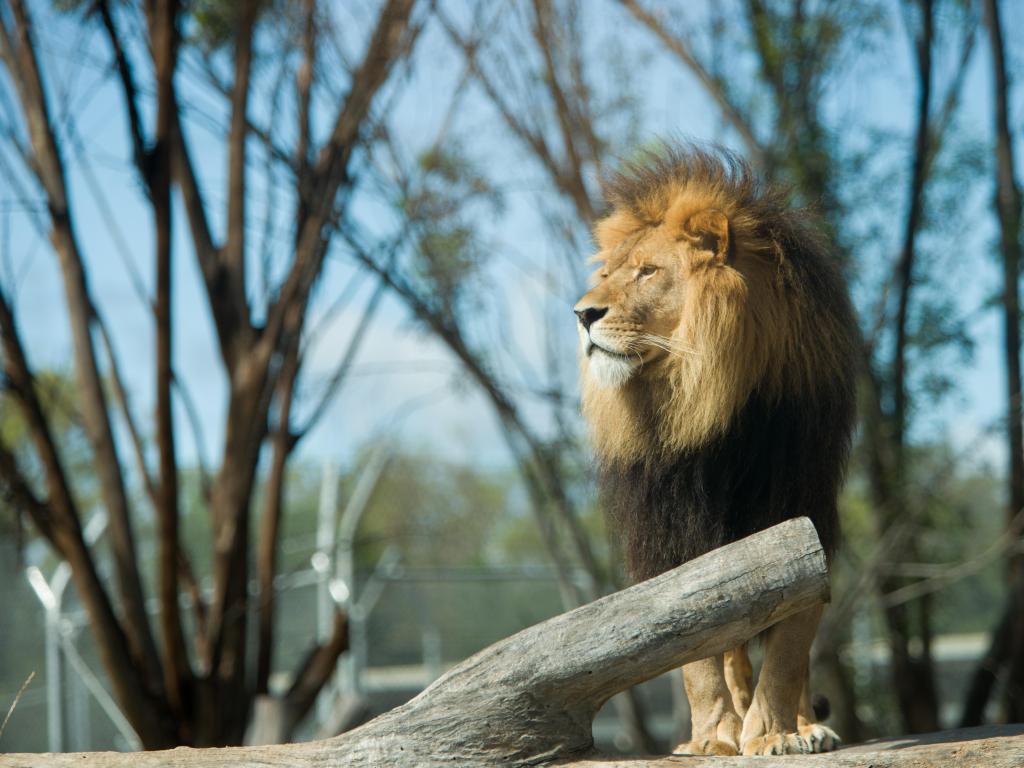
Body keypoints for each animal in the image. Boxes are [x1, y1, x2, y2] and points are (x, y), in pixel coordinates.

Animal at [577, 145, 856, 757]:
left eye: (648, 271)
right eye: (606, 275)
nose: (582, 314)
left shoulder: (802, 511)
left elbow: (791, 644)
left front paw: (773, 733)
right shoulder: (674, 531)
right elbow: (698, 655)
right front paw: (712, 738)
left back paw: (806, 727)